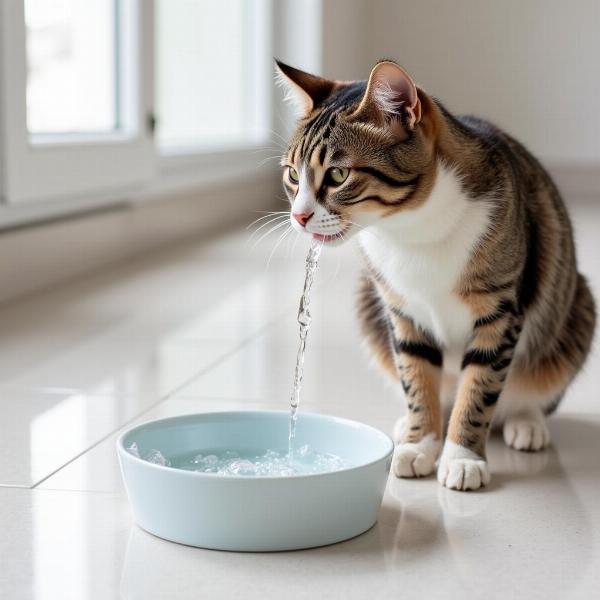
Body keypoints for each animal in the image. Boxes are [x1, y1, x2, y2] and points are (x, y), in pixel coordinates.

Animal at [276, 59, 596, 492]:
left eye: (339, 175)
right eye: (293, 175)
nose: (299, 216)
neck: (409, 230)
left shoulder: (499, 311)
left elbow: (478, 387)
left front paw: (462, 457)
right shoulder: (402, 310)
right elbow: (417, 376)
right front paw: (420, 444)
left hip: (575, 306)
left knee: (528, 390)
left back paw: (526, 423)